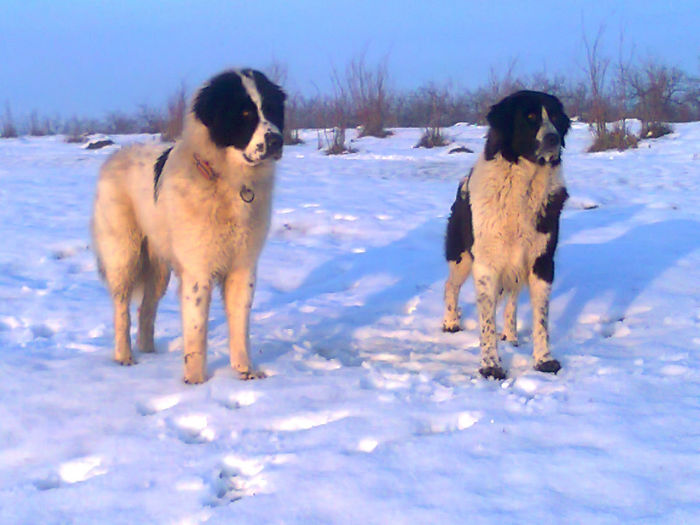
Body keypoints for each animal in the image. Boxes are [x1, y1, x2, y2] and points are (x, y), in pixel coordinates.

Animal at [442, 89, 568, 376]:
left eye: (555, 117)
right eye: (530, 117)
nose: (553, 138)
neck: (524, 185)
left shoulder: (541, 261)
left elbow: (541, 318)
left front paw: (544, 360)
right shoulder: (486, 264)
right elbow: (487, 321)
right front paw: (491, 365)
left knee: (512, 299)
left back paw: (510, 335)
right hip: (461, 257)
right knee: (450, 286)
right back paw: (451, 321)